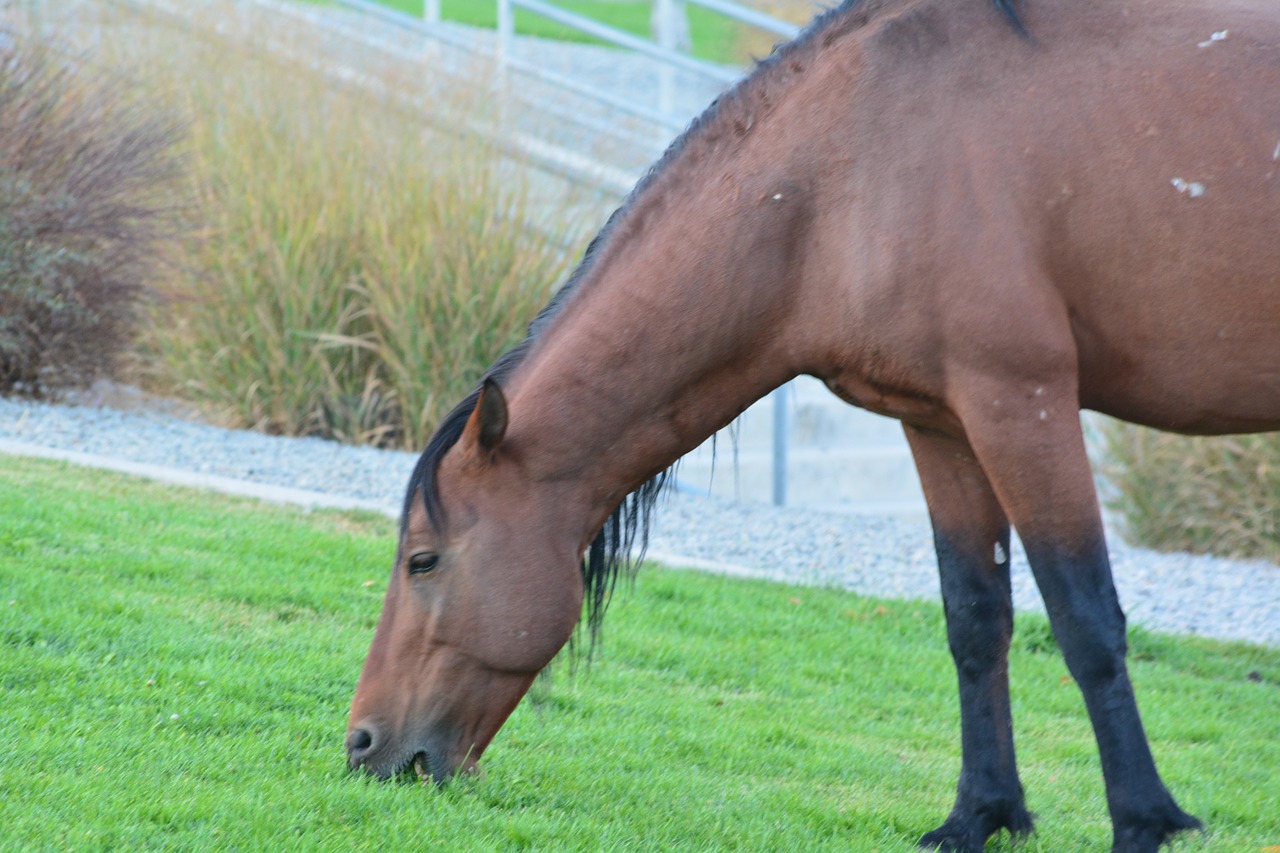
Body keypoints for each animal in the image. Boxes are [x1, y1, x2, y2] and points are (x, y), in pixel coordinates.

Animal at [345, 0, 1280, 845]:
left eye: (423, 560)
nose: (361, 744)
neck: (844, 176)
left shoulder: (1023, 402)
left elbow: (1086, 618)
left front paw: (1146, 821)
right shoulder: (941, 423)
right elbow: (975, 619)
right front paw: (979, 816)